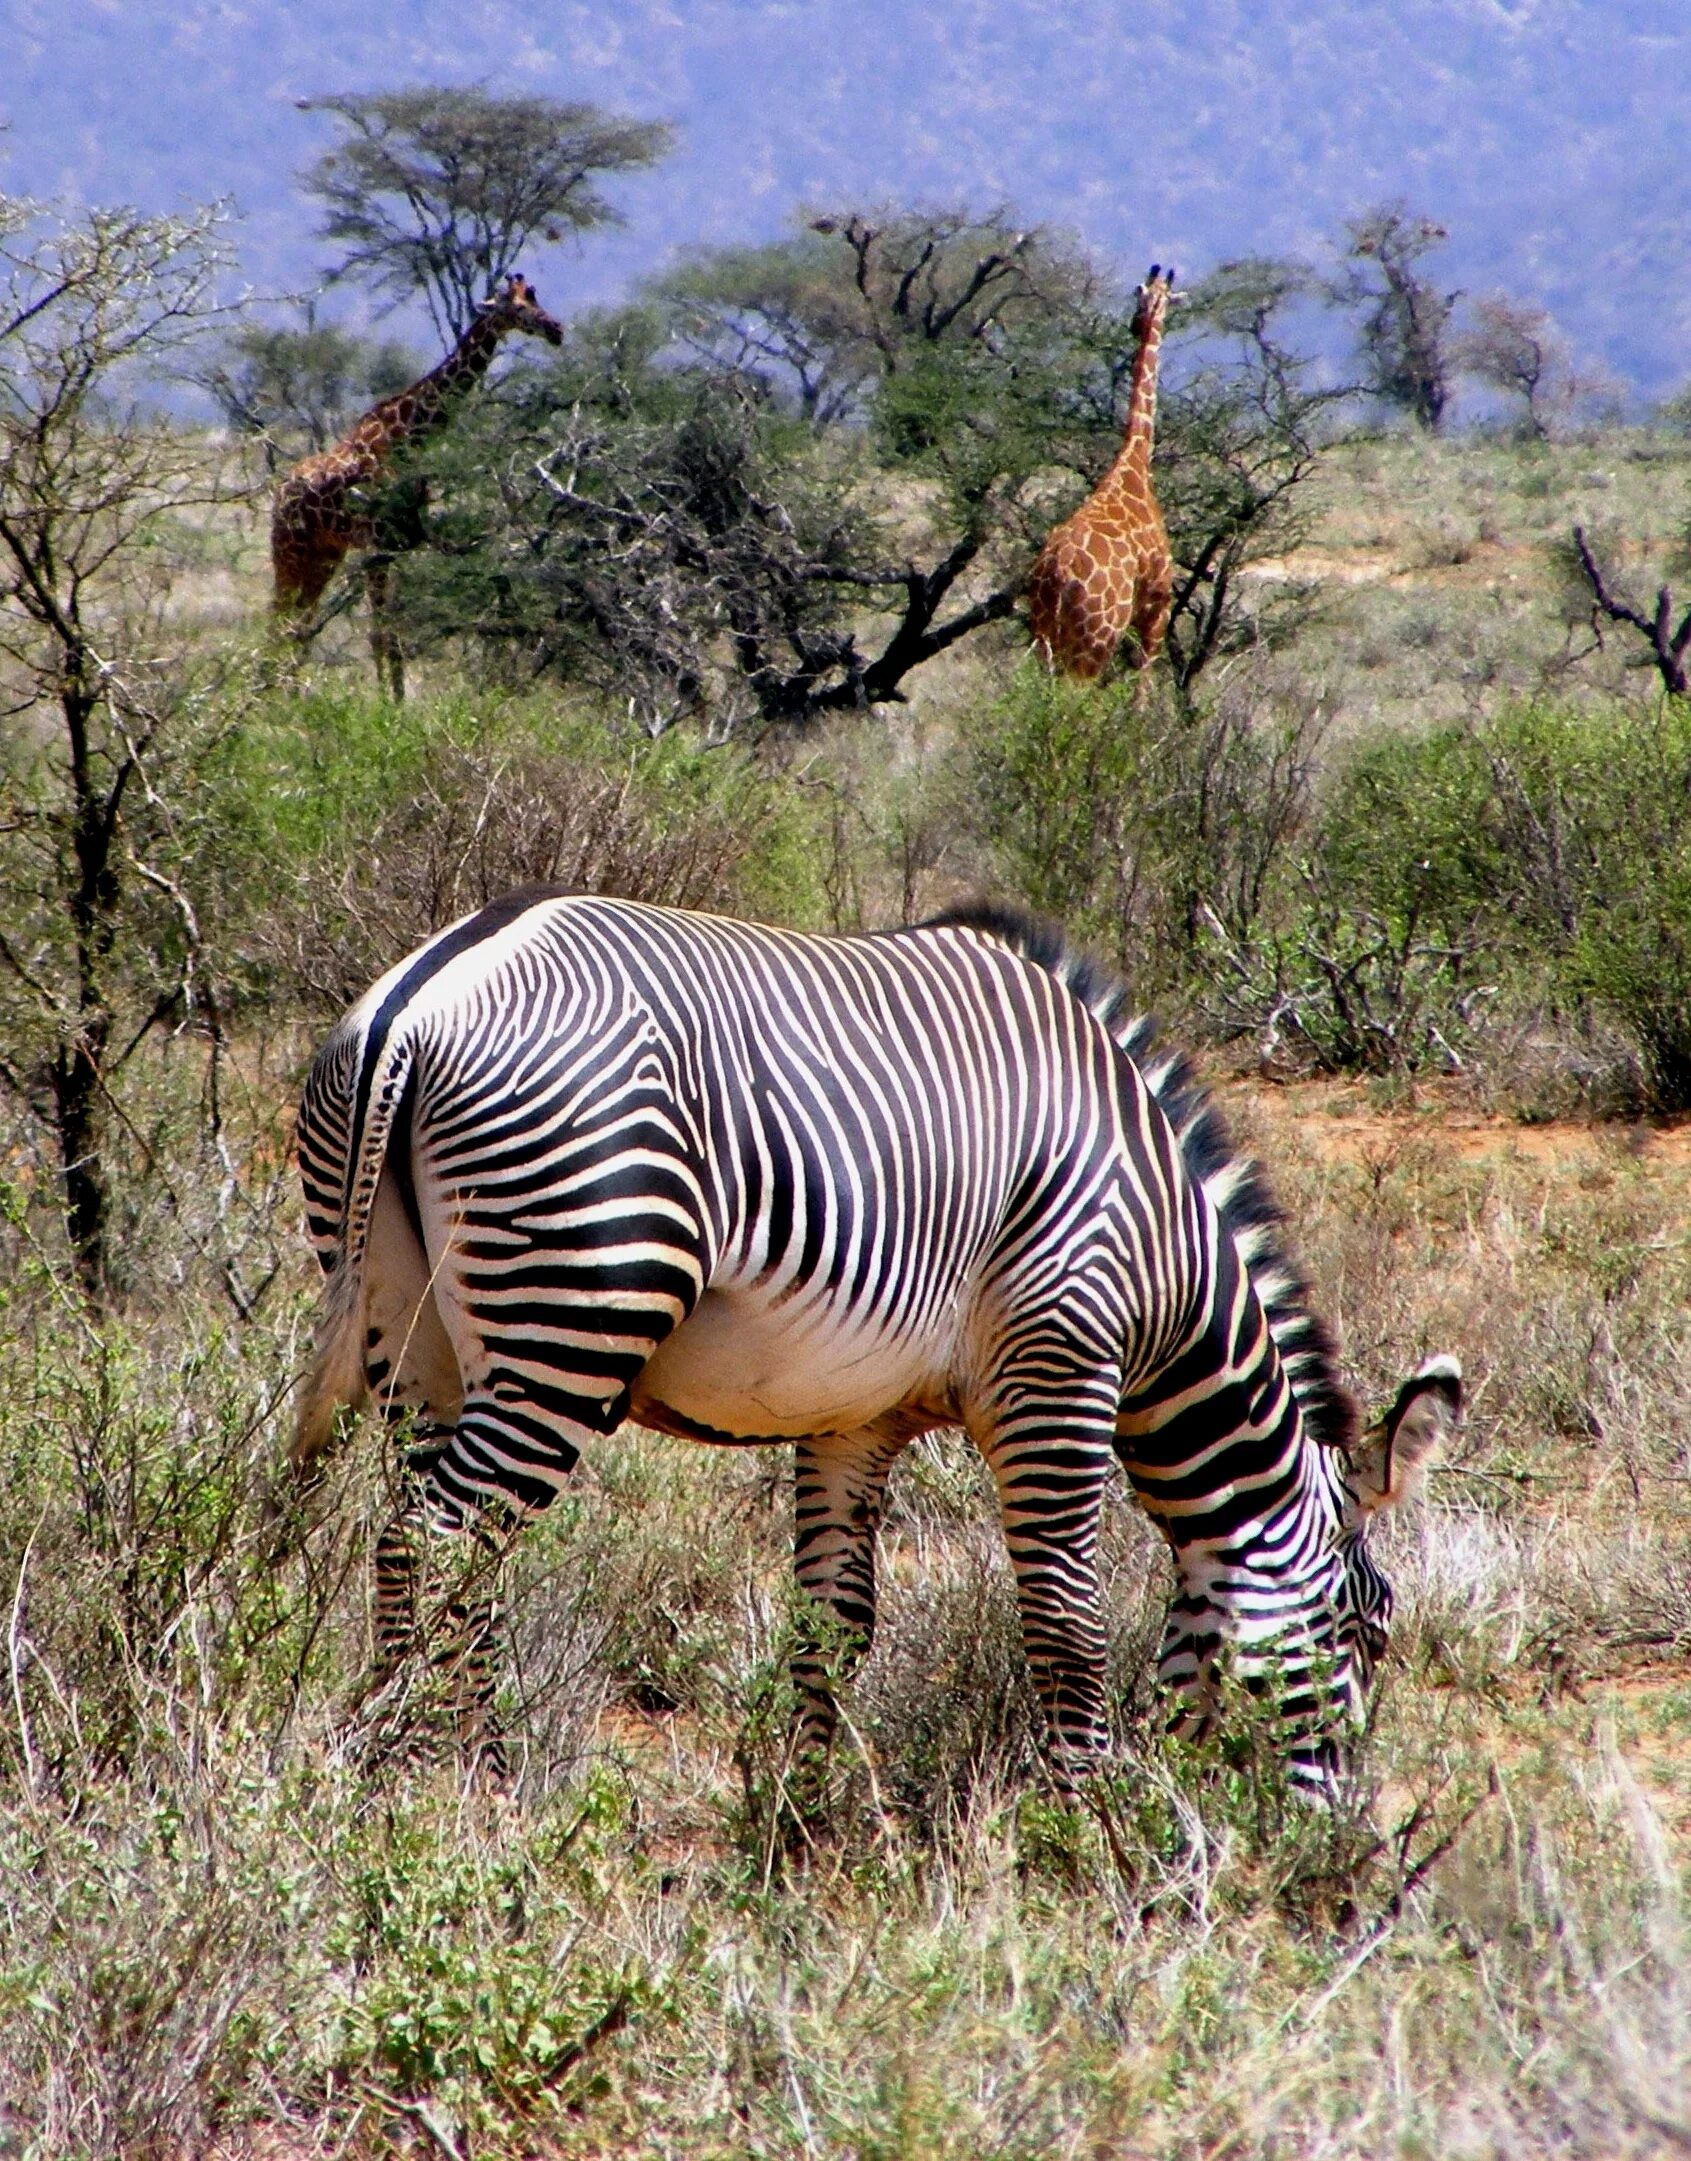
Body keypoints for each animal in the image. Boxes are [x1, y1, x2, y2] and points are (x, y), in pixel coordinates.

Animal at [267, 270, 565, 691]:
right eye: (519, 306)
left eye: (535, 299)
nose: (556, 329)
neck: (407, 438)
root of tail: (279, 494)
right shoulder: (377, 545)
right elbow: (381, 636)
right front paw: (385, 704)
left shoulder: (400, 545)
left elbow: (395, 635)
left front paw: (396, 699)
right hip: (290, 550)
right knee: (278, 624)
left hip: (324, 555)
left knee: (297, 629)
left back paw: (285, 697)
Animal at [291, 886, 1451, 1797]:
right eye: (1372, 1627)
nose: (1331, 1844)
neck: (1164, 1258)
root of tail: (419, 999)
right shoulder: (1059, 1372)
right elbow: (1064, 1620)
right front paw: (1085, 1834)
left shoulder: (849, 1418)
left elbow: (831, 1628)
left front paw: (797, 1830)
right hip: (575, 1309)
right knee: (439, 1538)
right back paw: (451, 1780)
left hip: (417, 1341)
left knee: (432, 1549)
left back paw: (434, 1772)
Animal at [1023, 264, 1183, 678]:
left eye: (1141, 299)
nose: (1135, 323)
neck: (1136, 456)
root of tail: (1057, 576)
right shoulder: (1158, 607)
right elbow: (1143, 682)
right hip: (1097, 640)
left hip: (1046, 635)